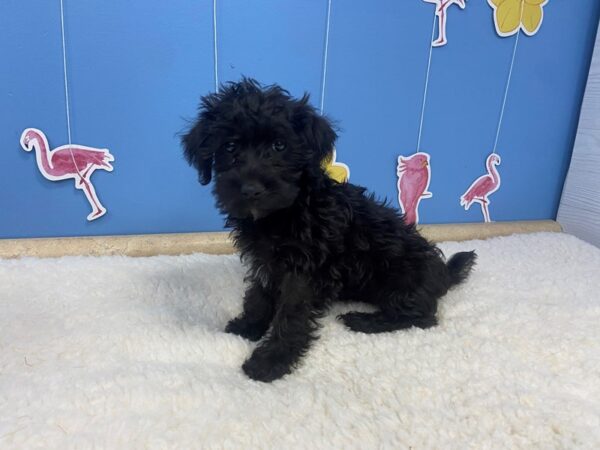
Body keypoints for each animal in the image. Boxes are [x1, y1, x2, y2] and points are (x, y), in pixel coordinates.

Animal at [180, 79, 476, 382]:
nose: (251, 189)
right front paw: (249, 326)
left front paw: (271, 361)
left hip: (402, 279)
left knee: (423, 317)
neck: (285, 211)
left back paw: (362, 320)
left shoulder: (304, 270)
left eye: (279, 145)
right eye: (229, 147)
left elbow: (291, 314)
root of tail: (445, 274)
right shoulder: (265, 260)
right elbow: (258, 294)